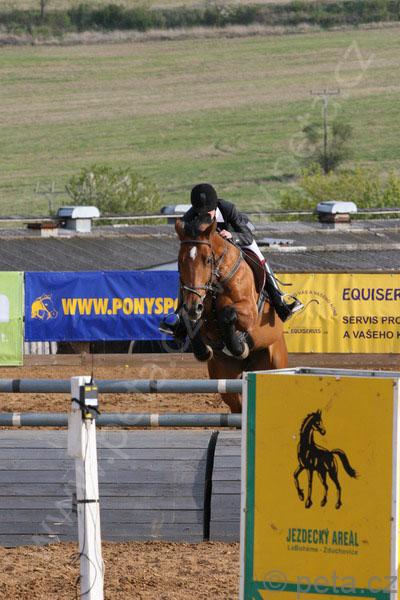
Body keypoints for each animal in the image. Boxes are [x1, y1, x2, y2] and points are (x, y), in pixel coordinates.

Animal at [175, 217, 288, 413]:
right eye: (180, 262)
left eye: (207, 260)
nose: (193, 306)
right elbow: (191, 322)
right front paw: (203, 350)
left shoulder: (249, 312)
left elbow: (227, 314)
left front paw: (239, 346)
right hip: (225, 375)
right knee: (236, 405)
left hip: (275, 361)